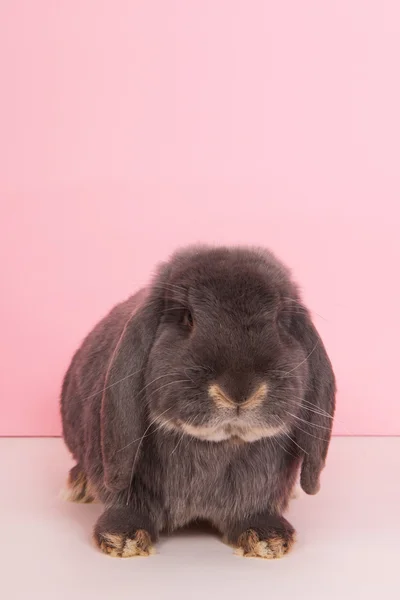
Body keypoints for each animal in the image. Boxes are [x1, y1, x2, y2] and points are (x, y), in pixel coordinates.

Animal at [60, 244, 334, 556]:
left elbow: (255, 509)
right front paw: (122, 538)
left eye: (278, 321)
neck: (218, 444)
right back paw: (79, 487)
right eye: (187, 318)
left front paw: (268, 538)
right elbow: (124, 499)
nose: (238, 390)